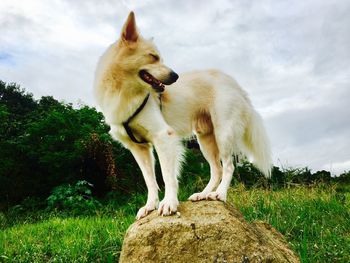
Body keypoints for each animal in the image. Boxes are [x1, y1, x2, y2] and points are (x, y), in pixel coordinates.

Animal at [93, 11, 270, 220]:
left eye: (159, 57)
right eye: (153, 57)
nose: (175, 76)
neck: (124, 91)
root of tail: (235, 85)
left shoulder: (164, 136)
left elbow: (168, 176)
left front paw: (169, 203)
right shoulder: (139, 148)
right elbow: (150, 180)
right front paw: (150, 206)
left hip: (223, 133)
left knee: (228, 166)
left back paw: (220, 194)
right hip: (205, 139)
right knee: (216, 169)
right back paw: (203, 194)